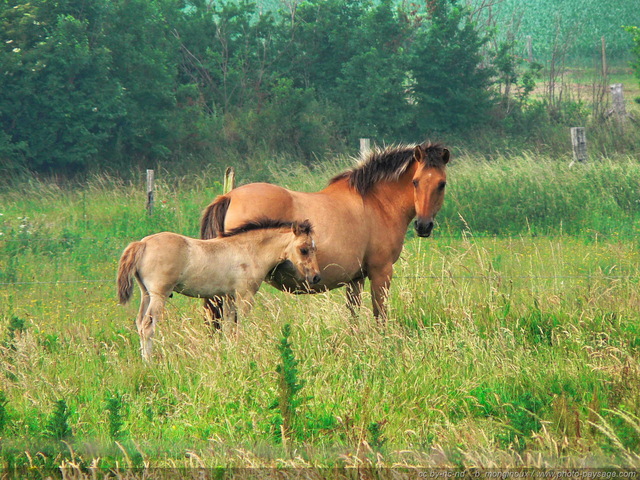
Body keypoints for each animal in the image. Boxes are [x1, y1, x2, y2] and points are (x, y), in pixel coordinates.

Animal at [117, 219, 320, 358]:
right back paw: (149, 363)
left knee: (139, 323)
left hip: (146, 294)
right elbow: (241, 325)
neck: (249, 250)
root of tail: (142, 244)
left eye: (314, 248)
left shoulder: (228, 297)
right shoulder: (245, 296)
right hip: (159, 295)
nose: (316, 277)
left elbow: (229, 327)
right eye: (303, 249)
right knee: (147, 326)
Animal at [201, 142, 450, 322]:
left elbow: (354, 315)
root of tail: (228, 196)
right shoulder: (381, 272)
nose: (423, 226)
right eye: (415, 182)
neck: (376, 202)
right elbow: (380, 314)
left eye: (442, 184)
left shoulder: (355, 278)